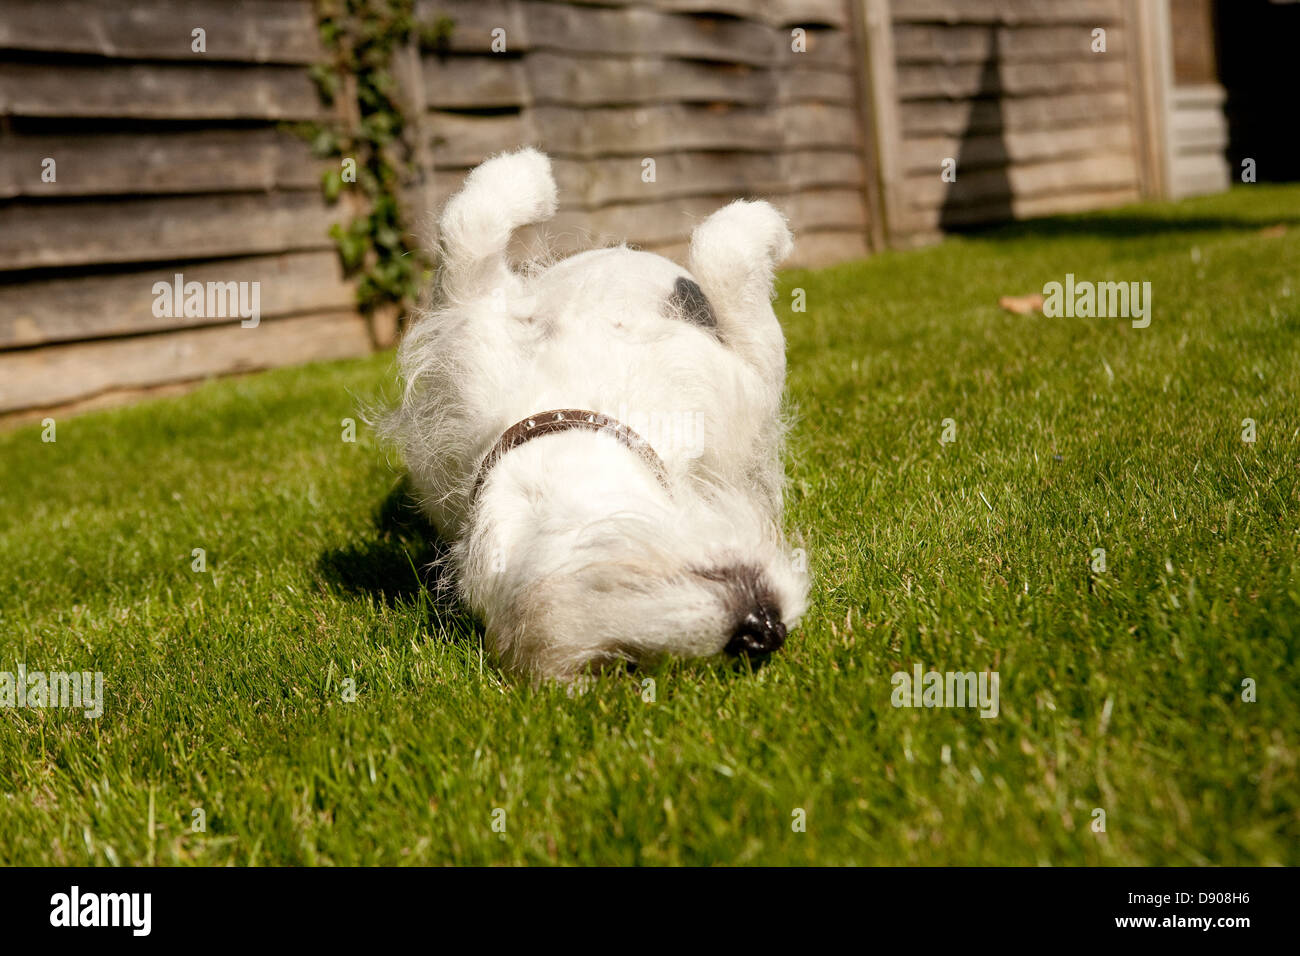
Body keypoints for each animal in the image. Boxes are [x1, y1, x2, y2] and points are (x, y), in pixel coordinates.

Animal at [379, 149, 806, 681]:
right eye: (626, 665)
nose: (763, 634)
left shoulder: (473, 325)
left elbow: (467, 224)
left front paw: (530, 175)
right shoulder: (752, 379)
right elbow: (726, 259)